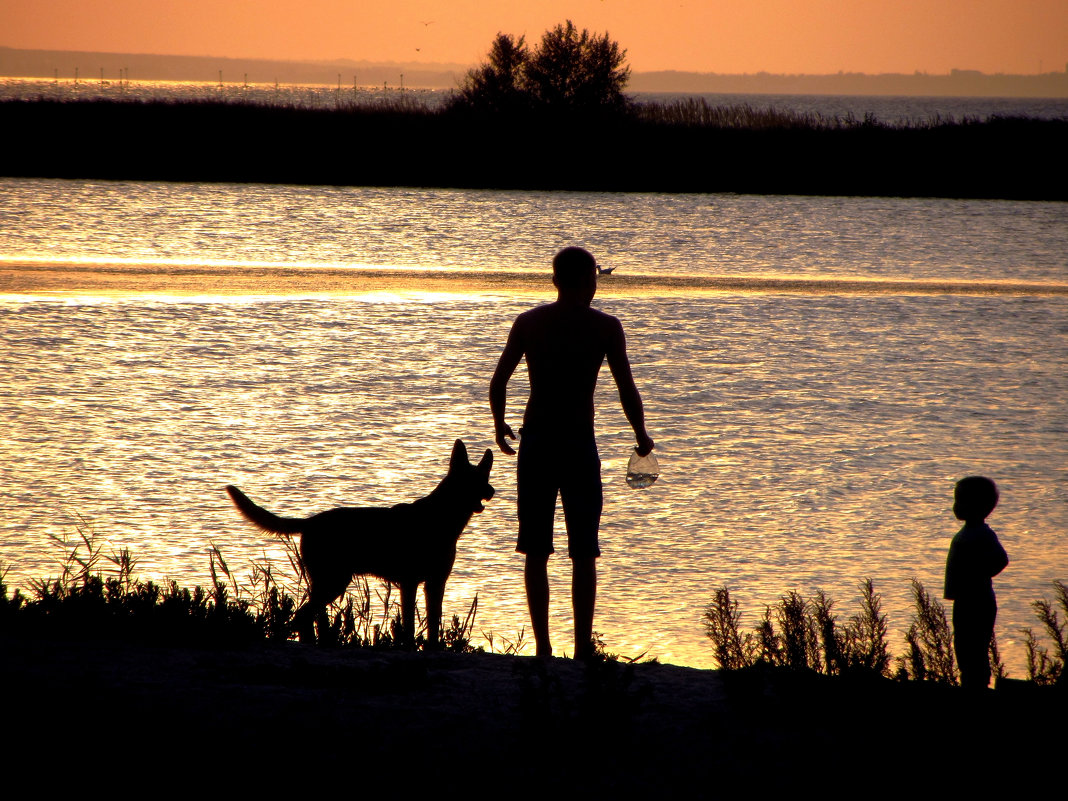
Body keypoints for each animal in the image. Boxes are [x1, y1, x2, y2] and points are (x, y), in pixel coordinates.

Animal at [227, 442, 493, 649]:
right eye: (472, 480)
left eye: (485, 476)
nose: (492, 491)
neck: (441, 517)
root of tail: (310, 521)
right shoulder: (410, 582)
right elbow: (409, 625)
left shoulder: (435, 583)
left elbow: (434, 624)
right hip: (334, 582)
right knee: (303, 615)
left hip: (327, 583)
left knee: (308, 617)